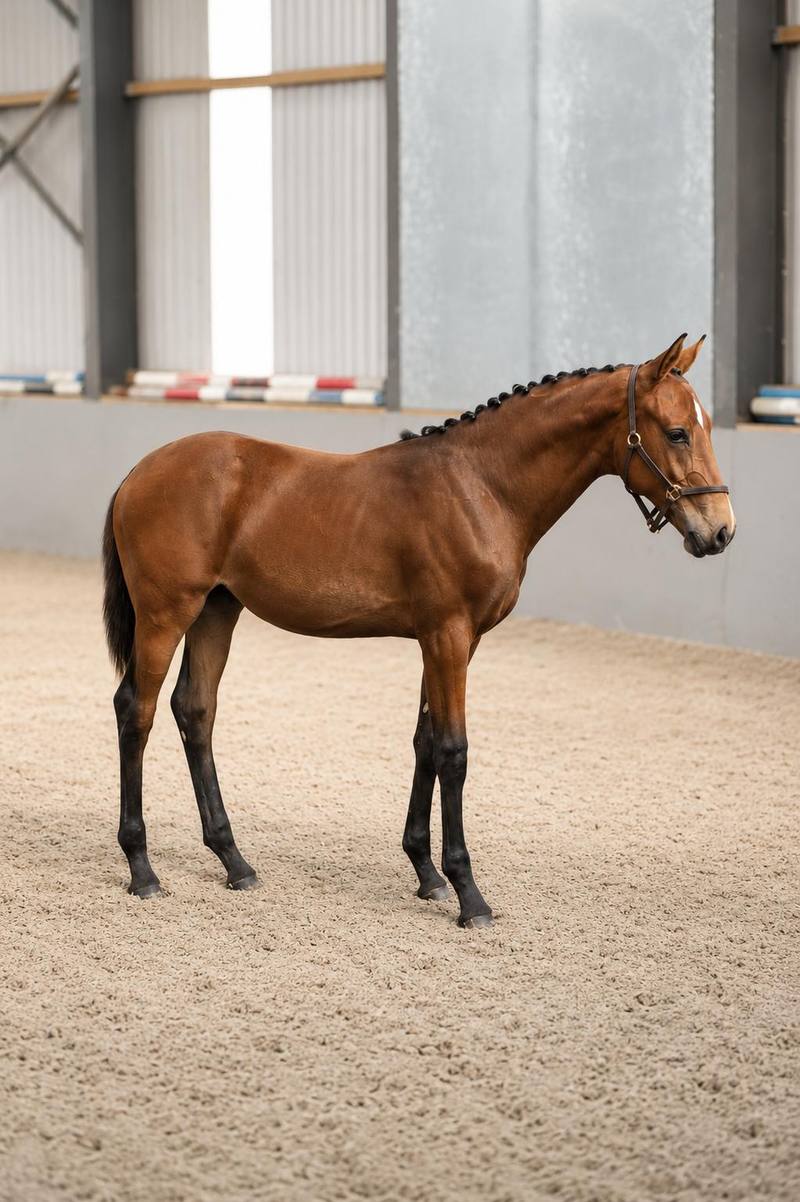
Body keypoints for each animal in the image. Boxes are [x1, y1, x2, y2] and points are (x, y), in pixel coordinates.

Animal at [103, 333, 734, 927]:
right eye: (678, 432)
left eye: (704, 427)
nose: (721, 531)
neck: (480, 486)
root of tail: (137, 473)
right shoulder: (447, 635)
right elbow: (453, 752)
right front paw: (469, 894)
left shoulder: (452, 641)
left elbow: (425, 743)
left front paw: (428, 874)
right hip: (166, 615)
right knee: (138, 711)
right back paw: (142, 868)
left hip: (216, 611)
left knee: (195, 711)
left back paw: (234, 861)